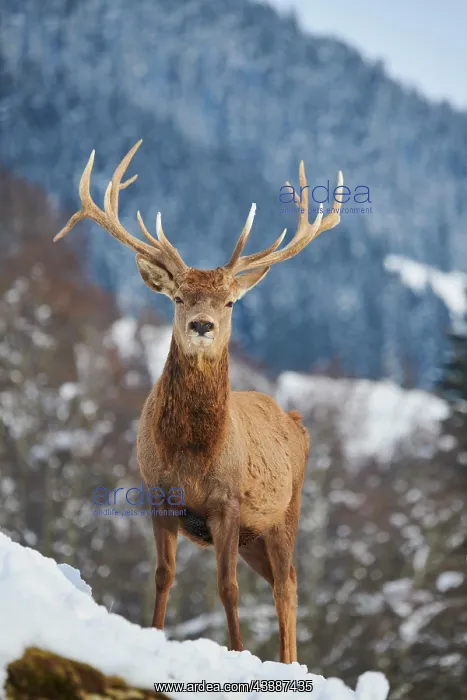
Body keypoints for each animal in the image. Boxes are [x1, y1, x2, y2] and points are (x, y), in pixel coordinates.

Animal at [54, 140, 343, 664]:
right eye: (178, 297)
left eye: (229, 302)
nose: (202, 325)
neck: (192, 456)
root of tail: (294, 419)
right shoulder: (157, 493)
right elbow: (163, 575)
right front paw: (154, 633)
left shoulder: (228, 503)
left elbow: (227, 587)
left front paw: (238, 652)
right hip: (256, 536)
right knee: (283, 581)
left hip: (286, 512)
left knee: (287, 585)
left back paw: (289, 662)